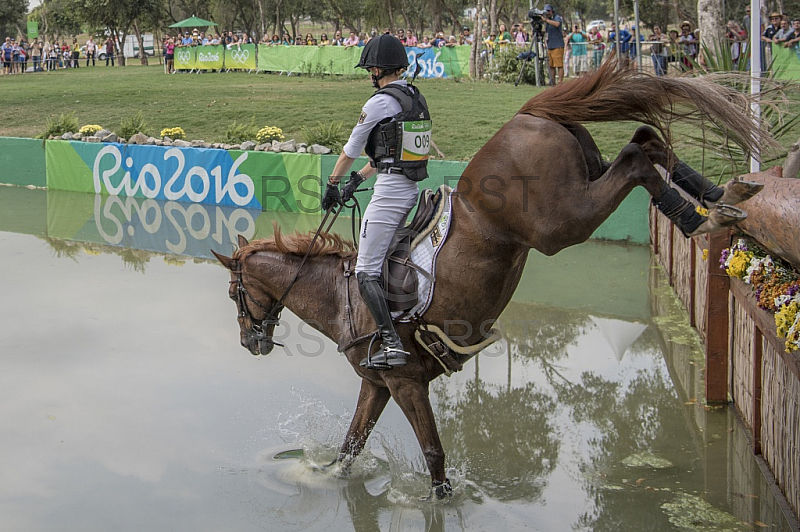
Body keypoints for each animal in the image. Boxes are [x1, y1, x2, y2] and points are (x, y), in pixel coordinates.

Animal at [211, 62, 768, 498]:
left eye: (235, 293)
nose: (249, 343)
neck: (343, 296)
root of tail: (527, 113)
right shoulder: (378, 384)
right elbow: (351, 445)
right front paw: (324, 476)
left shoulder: (405, 381)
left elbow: (433, 454)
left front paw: (440, 501)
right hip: (584, 173)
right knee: (645, 143)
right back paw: (720, 198)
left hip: (559, 223)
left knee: (635, 158)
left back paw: (702, 216)